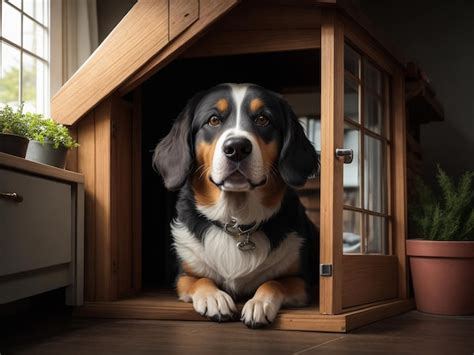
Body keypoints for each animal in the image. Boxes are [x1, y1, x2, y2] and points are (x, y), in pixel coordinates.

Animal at [154, 82, 320, 328]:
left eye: (263, 119)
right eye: (214, 120)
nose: (237, 148)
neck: (237, 221)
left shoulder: (300, 281)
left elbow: (273, 282)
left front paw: (259, 304)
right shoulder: (184, 276)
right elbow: (200, 280)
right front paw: (214, 298)